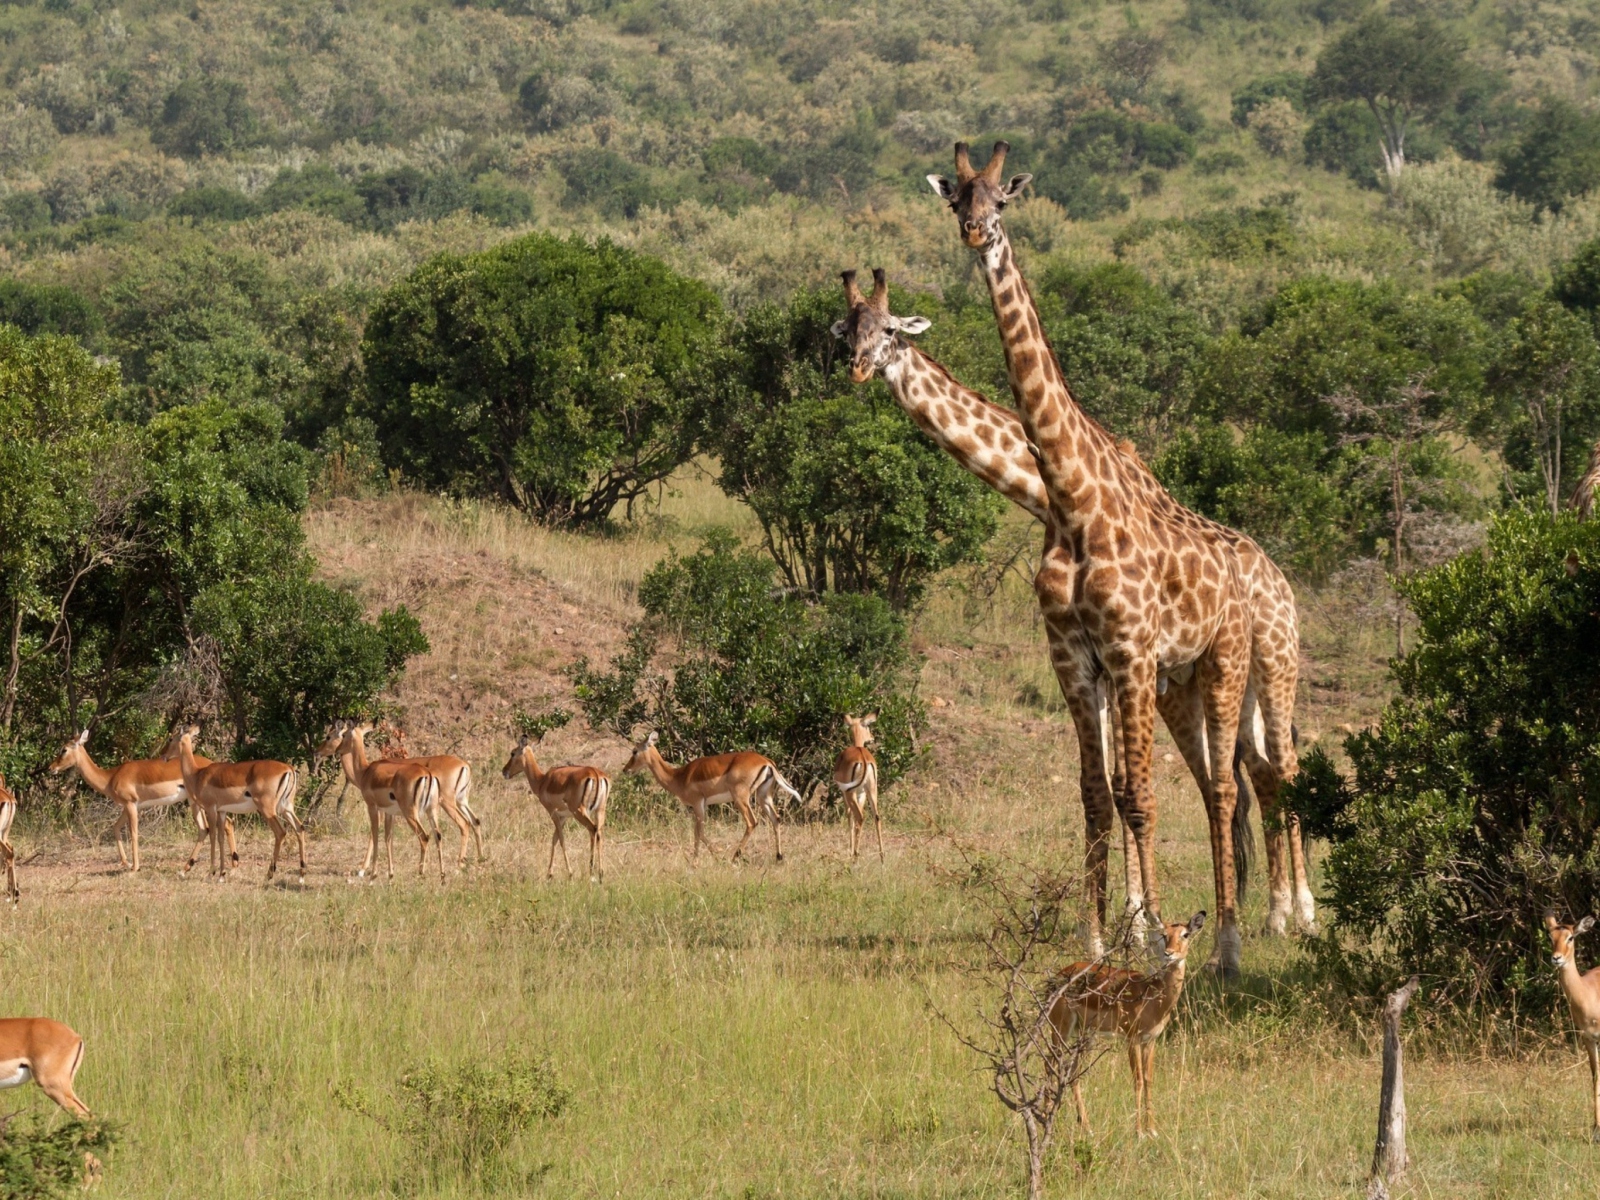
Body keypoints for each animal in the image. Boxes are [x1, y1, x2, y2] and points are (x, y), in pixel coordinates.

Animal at [832, 267, 1318, 953]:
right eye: (846, 332)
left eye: (890, 332)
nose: (856, 368)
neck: (1045, 493)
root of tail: (1280, 578)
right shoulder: (1107, 669)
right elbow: (1115, 788)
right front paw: (1130, 921)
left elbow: (1126, 789)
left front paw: (1137, 926)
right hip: (1205, 688)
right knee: (1254, 777)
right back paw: (1270, 911)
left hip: (1275, 666)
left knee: (1284, 768)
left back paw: (1299, 911)